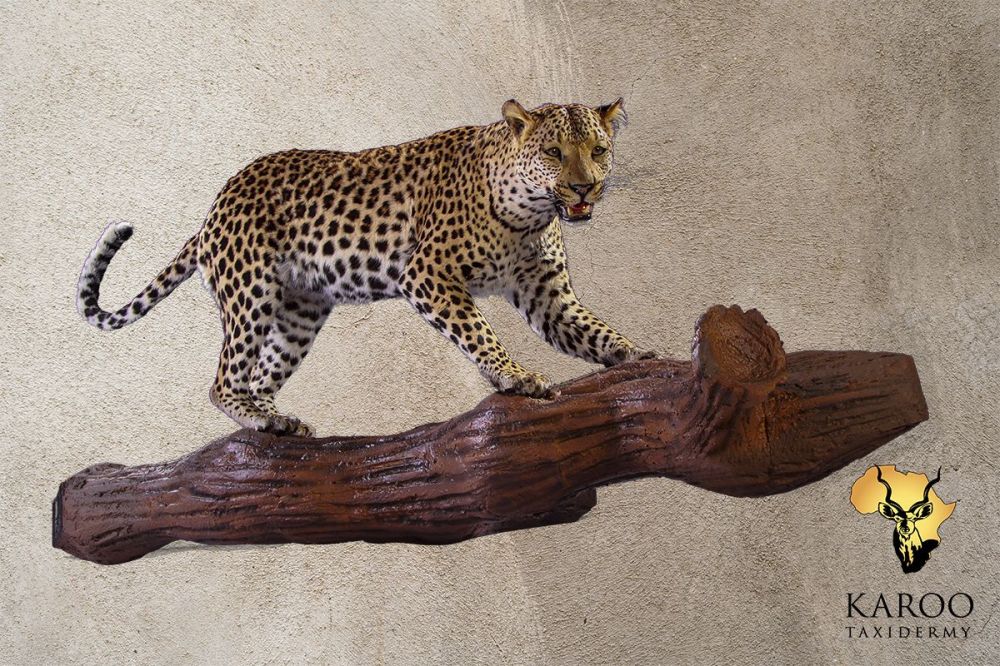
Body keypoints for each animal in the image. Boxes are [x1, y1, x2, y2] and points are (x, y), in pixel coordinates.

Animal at [77, 98, 657, 437]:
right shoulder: (428, 274)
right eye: (554, 152)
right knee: (224, 380)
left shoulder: (545, 293)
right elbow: (479, 332)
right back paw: (259, 419)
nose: (584, 188)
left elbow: (590, 328)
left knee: (261, 376)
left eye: (598, 150)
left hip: (300, 313)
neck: (530, 215)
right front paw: (513, 376)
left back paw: (276, 419)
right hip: (251, 294)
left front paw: (636, 351)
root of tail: (215, 206)